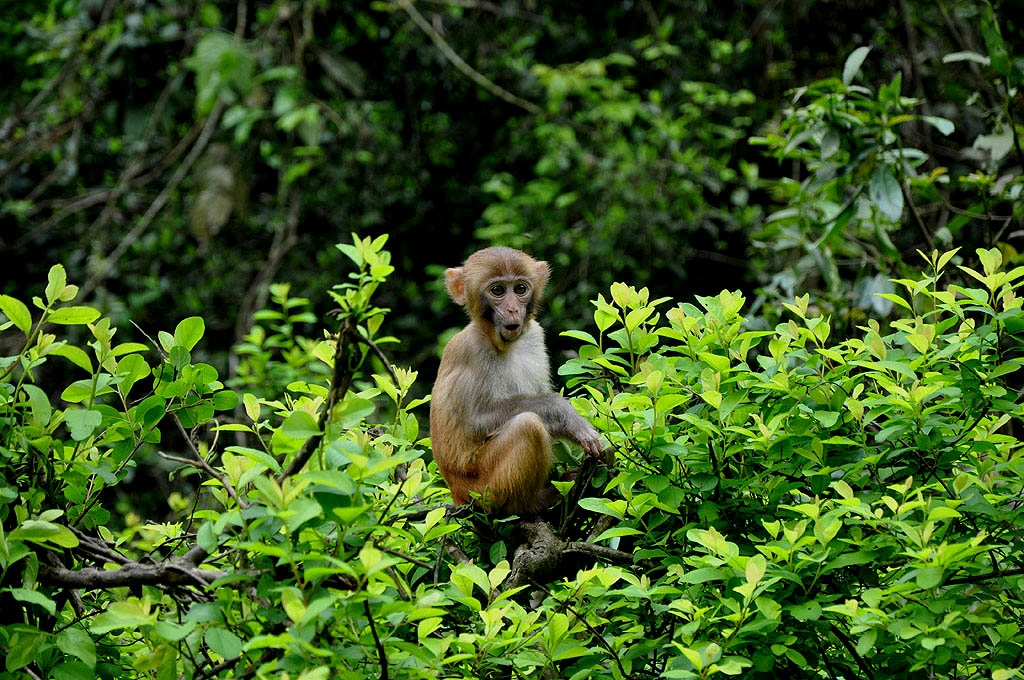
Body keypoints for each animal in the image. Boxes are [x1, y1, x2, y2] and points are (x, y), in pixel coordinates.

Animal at [428, 245, 602, 516]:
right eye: (498, 291)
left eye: (520, 289)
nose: (512, 309)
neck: (499, 341)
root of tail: (457, 495)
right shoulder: (471, 351)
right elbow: (475, 422)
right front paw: (564, 412)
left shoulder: (535, 335)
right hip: (482, 492)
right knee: (526, 425)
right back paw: (533, 502)